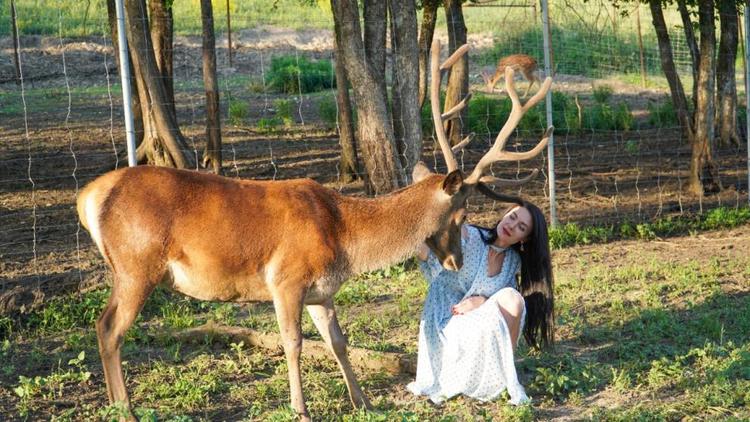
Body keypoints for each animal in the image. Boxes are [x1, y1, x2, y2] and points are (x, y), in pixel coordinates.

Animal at [76, 38, 556, 420]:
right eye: (461, 214)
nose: (456, 259)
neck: (344, 236)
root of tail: (88, 197)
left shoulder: (320, 292)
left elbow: (338, 342)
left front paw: (363, 402)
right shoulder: (286, 279)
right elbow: (293, 343)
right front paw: (301, 408)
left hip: (129, 269)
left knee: (102, 326)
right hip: (137, 265)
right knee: (109, 328)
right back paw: (126, 409)